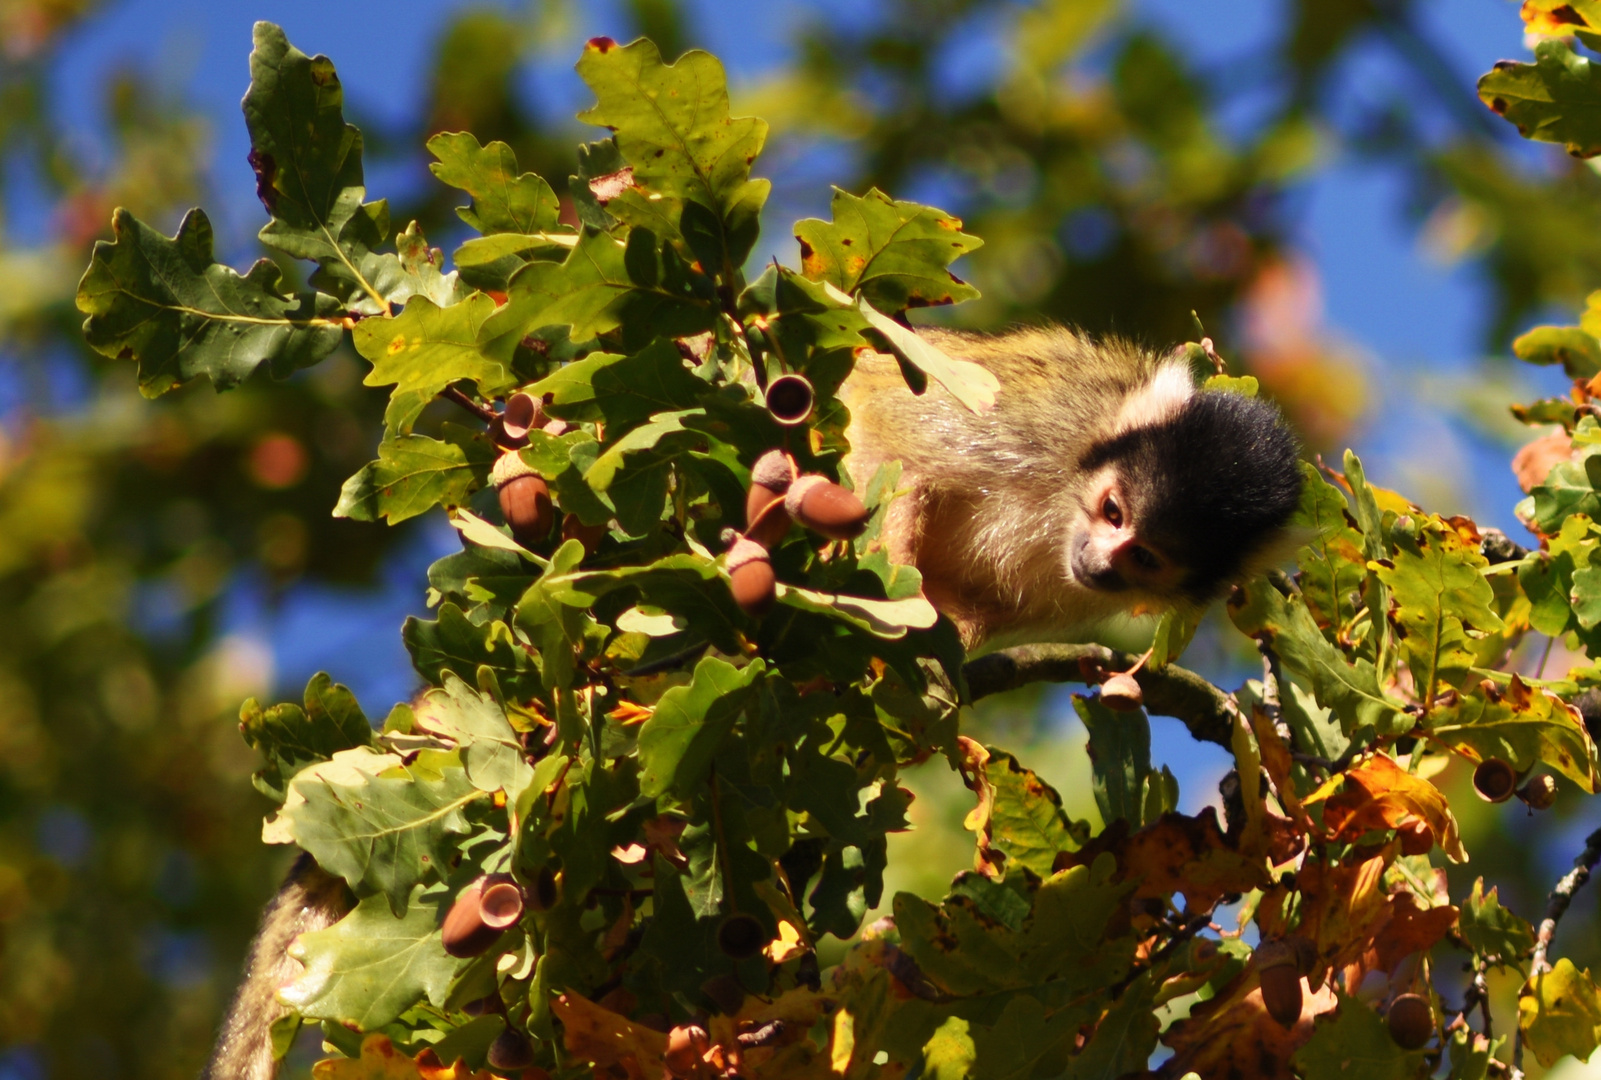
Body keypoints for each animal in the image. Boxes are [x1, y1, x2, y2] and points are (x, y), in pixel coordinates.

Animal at [838, 324, 1300, 649]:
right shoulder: (1046, 419)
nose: (1096, 564)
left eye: (1145, 557)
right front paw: (897, 596)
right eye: (1113, 512)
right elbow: (885, 430)